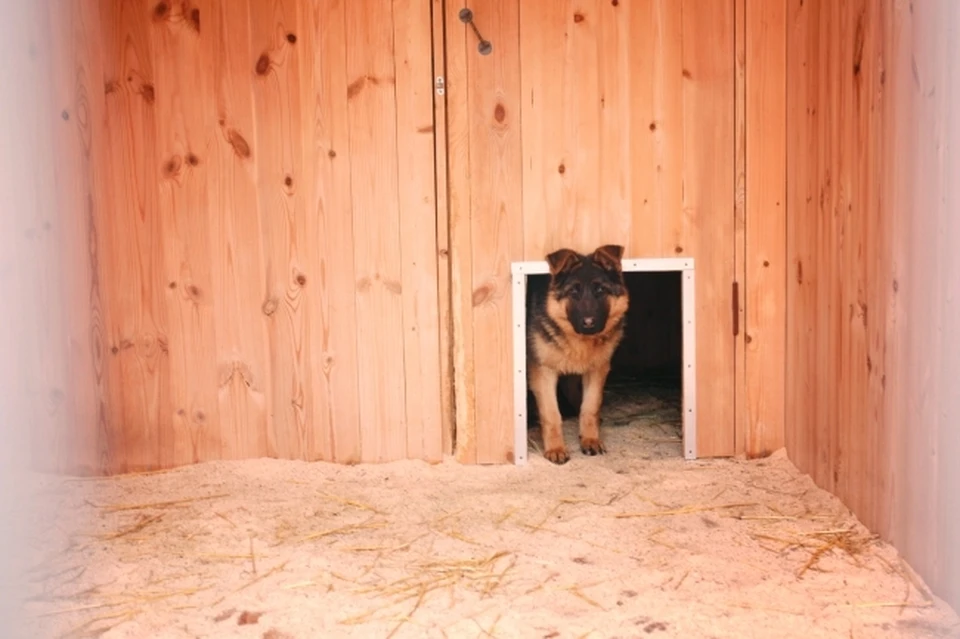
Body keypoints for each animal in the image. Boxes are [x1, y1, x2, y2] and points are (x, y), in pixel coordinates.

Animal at [524, 245, 632, 464]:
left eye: (600, 290)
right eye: (573, 291)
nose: (589, 323)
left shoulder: (597, 370)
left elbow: (590, 407)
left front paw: (590, 439)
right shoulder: (543, 372)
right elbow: (551, 414)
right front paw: (556, 448)